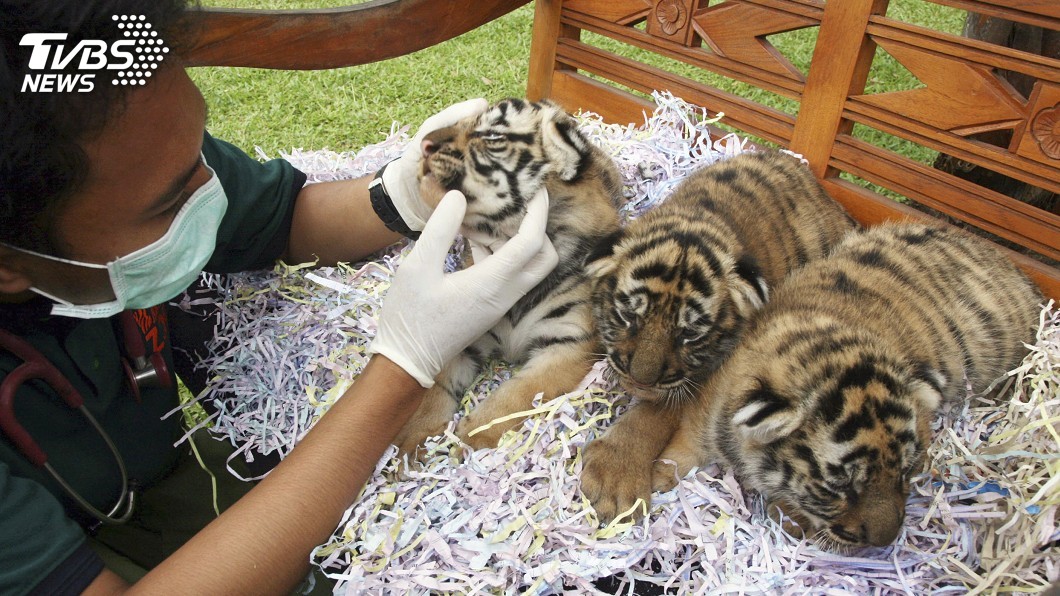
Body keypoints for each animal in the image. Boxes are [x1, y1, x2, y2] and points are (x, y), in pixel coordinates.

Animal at [391, 98, 622, 456]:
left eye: (492, 135)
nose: (425, 143)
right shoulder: (463, 330)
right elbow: (434, 385)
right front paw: (412, 439)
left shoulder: (567, 344)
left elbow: (516, 396)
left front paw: (470, 438)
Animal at [652, 222, 1041, 550]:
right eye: (839, 487)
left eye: (906, 471)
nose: (885, 542)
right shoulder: (709, 410)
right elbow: (679, 449)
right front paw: (656, 482)